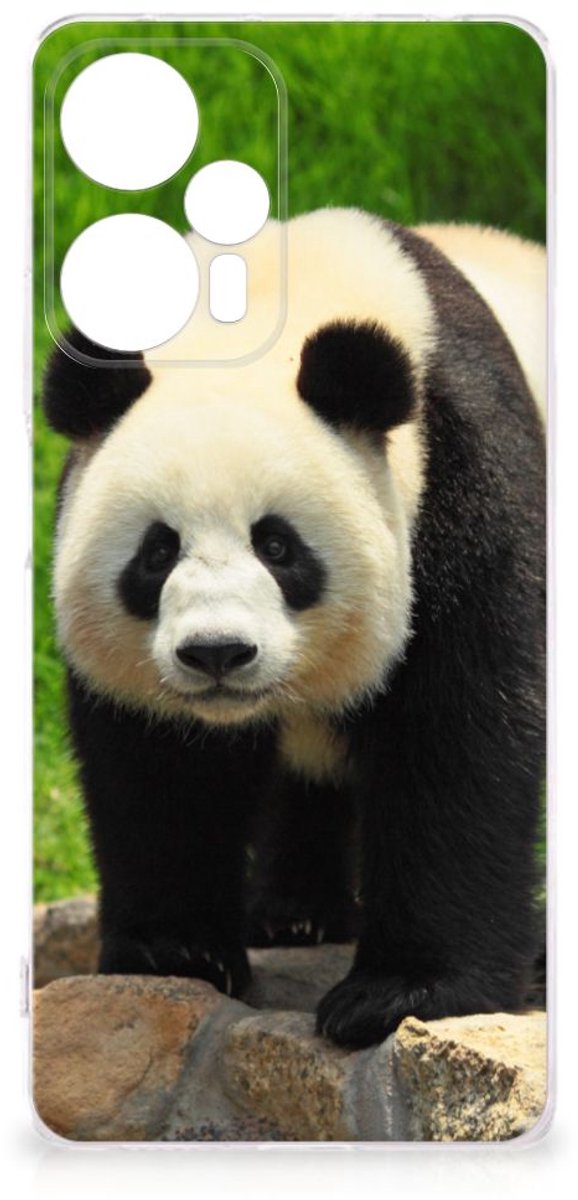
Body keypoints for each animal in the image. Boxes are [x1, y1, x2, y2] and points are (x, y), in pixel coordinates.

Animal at [43, 209, 546, 1049]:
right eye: (157, 551)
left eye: (277, 546)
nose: (217, 653)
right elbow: (159, 764)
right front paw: (176, 952)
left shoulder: (464, 479)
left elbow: (462, 733)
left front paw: (400, 993)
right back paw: (296, 914)